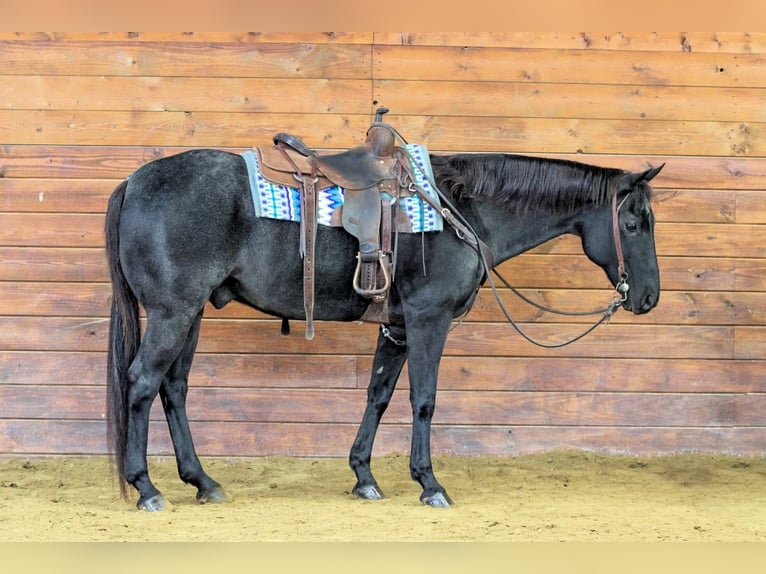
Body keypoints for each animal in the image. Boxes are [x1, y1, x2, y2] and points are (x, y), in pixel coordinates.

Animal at [105, 142, 663, 511]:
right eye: (632, 223)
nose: (648, 297)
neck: (462, 209)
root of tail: (134, 181)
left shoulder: (395, 327)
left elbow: (377, 395)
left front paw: (364, 476)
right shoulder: (428, 317)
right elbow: (424, 399)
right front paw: (429, 483)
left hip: (192, 311)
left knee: (174, 388)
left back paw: (203, 481)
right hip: (173, 312)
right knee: (142, 383)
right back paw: (146, 488)